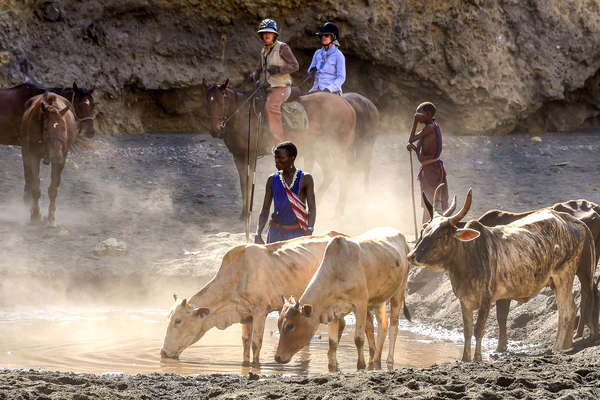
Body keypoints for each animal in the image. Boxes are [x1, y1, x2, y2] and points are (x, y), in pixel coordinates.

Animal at [20, 92, 78, 227]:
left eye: (64, 128)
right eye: (46, 128)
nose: (56, 155)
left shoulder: (61, 160)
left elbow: (53, 189)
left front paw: (51, 218)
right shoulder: (32, 156)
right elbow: (35, 187)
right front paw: (35, 216)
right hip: (25, 152)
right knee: (28, 177)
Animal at [203, 78, 366, 216]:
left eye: (221, 102)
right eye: (208, 104)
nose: (215, 130)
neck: (244, 116)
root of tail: (347, 104)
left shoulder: (250, 154)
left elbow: (249, 182)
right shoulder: (238, 156)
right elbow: (243, 182)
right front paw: (244, 212)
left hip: (337, 150)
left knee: (344, 173)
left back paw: (338, 210)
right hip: (321, 149)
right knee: (330, 173)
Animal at [274, 228, 410, 372]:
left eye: (290, 326)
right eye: (279, 324)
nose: (277, 357)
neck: (337, 273)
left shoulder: (360, 305)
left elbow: (359, 339)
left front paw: (360, 366)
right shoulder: (332, 311)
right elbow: (333, 343)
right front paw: (332, 368)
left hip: (399, 291)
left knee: (393, 325)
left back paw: (389, 361)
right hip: (379, 299)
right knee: (383, 324)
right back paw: (375, 361)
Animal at [406, 188, 592, 362]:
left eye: (441, 235)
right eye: (424, 230)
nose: (411, 256)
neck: (467, 257)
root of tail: (571, 220)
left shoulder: (486, 299)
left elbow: (478, 329)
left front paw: (477, 358)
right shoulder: (464, 300)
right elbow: (467, 331)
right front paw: (465, 358)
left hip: (564, 274)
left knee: (568, 310)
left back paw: (558, 348)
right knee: (566, 311)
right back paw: (564, 346)